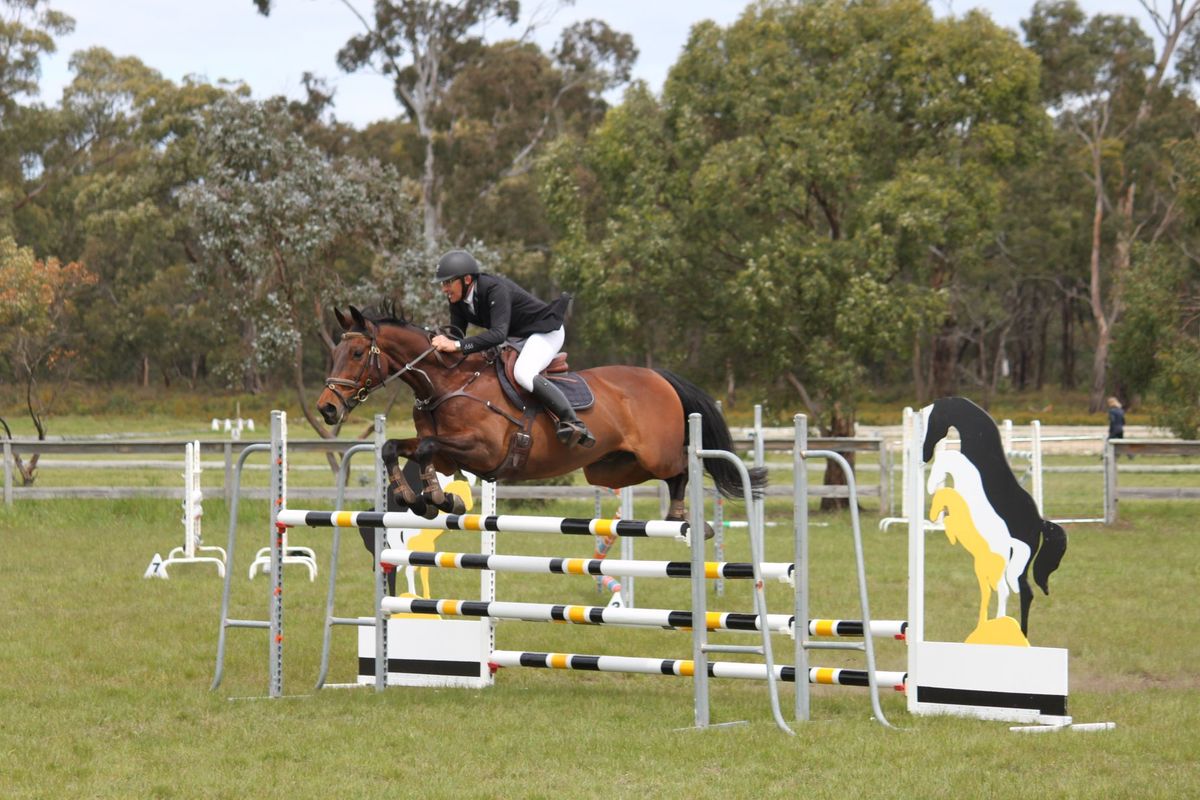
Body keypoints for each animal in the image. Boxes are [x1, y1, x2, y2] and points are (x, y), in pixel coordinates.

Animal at [316, 303, 768, 522]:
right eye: (334, 352)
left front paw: (441, 499)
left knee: (681, 469)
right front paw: (418, 499)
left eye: (356, 354)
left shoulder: (484, 449)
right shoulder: (446, 451)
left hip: (656, 453)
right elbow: (395, 447)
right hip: (608, 468)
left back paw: (681, 518)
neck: (444, 382)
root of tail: (660, 377)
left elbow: (425, 449)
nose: (327, 408)